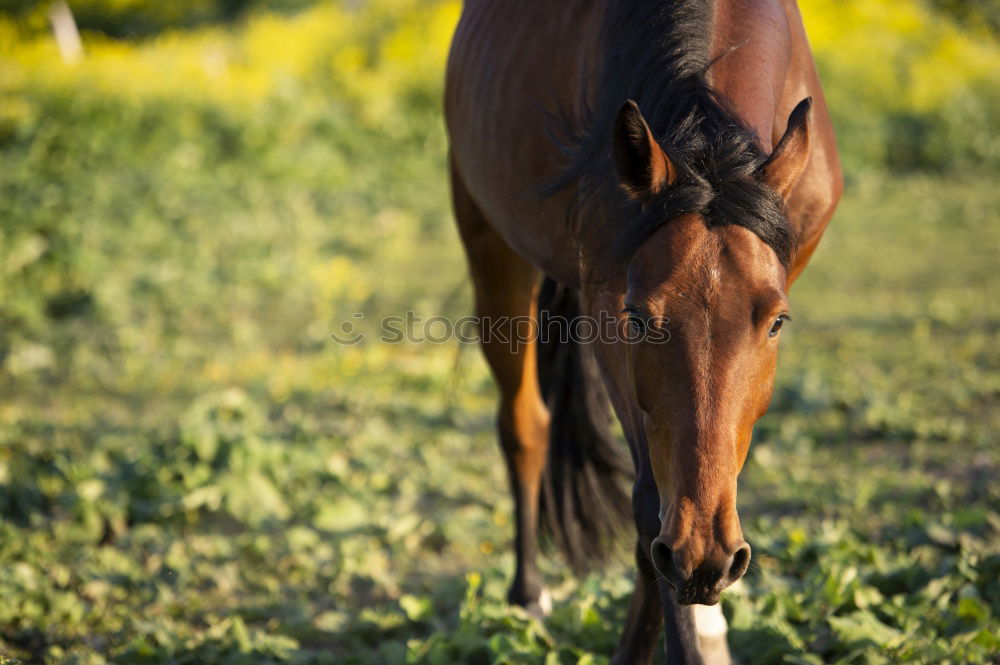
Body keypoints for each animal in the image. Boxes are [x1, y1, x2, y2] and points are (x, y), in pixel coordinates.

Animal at [446, 1, 844, 660]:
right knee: (524, 425)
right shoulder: (605, 310)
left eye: (777, 322)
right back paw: (528, 594)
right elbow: (651, 504)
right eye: (638, 317)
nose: (703, 561)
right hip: (490, 244)